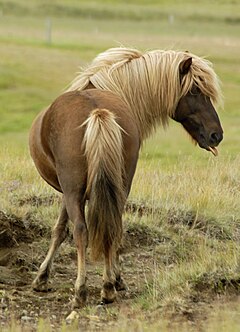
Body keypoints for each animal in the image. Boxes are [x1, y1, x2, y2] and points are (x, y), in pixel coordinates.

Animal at [29, 46, 223, 312]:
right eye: (195, 90)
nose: (217, 135)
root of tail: (98, 110)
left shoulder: (69, 192)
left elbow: (61, 229)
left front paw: (42, 277)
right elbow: (65, 228)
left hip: (74, 190)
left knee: (82, 230)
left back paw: (82, 291)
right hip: (116, 185)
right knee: (113, 226)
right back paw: (108, 288)